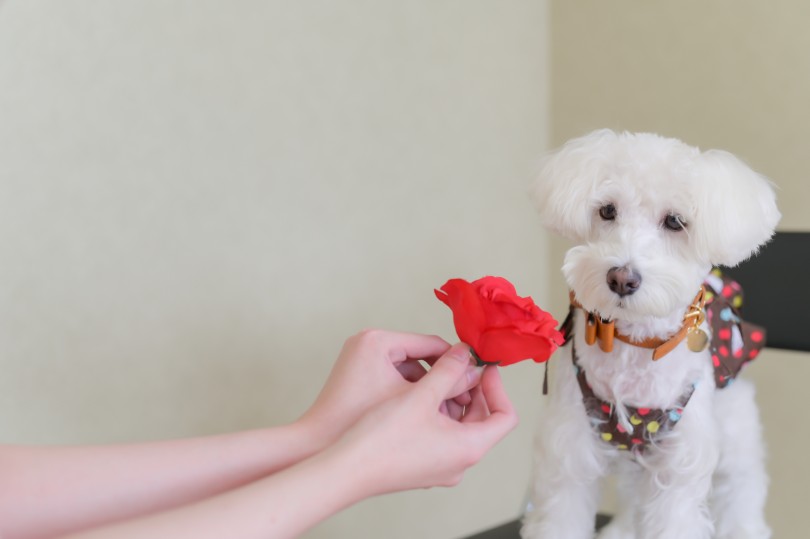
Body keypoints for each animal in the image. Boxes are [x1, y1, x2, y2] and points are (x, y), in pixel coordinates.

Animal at [520, 131, 780, 539]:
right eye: (607, 211)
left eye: (675, 221)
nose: (622, 278)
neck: (634, 344)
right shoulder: (569, 453)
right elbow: (561, 516)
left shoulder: (679, 465)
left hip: (734, 426)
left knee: (742, 485)